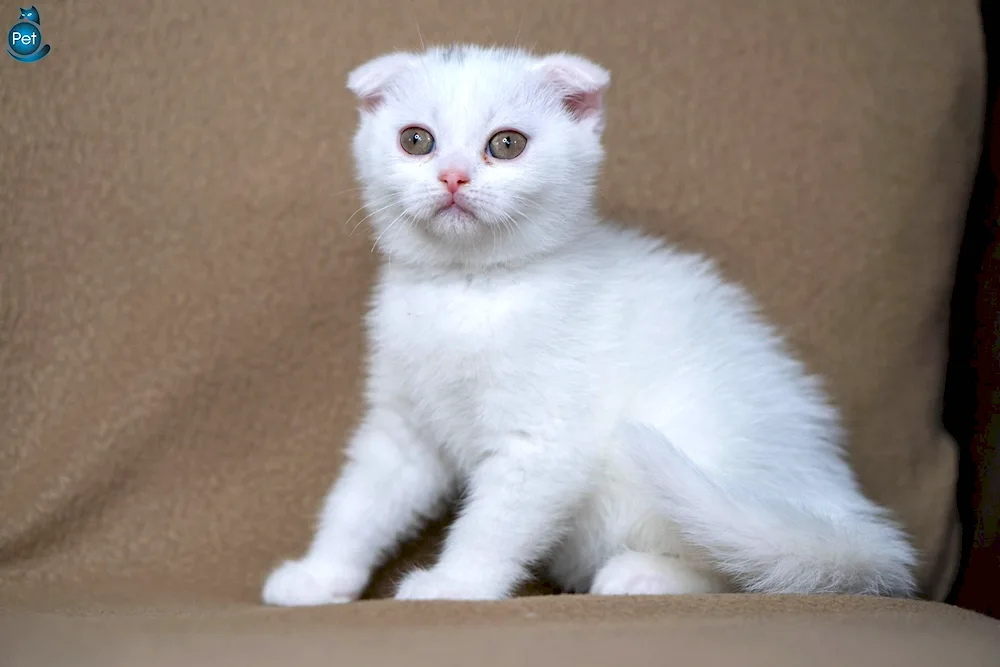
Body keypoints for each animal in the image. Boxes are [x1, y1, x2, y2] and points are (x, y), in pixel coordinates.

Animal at [262, 45, 916, 604]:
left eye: (506, 144)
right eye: (416, 140)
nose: (452, 176)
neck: (467, 289)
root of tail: (839, 508)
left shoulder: (542, 441)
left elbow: (492, 523)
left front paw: (455, 584)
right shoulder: (403, 426)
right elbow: (360, 502)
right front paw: (321, 576)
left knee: (756, 572)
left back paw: (643, 575)